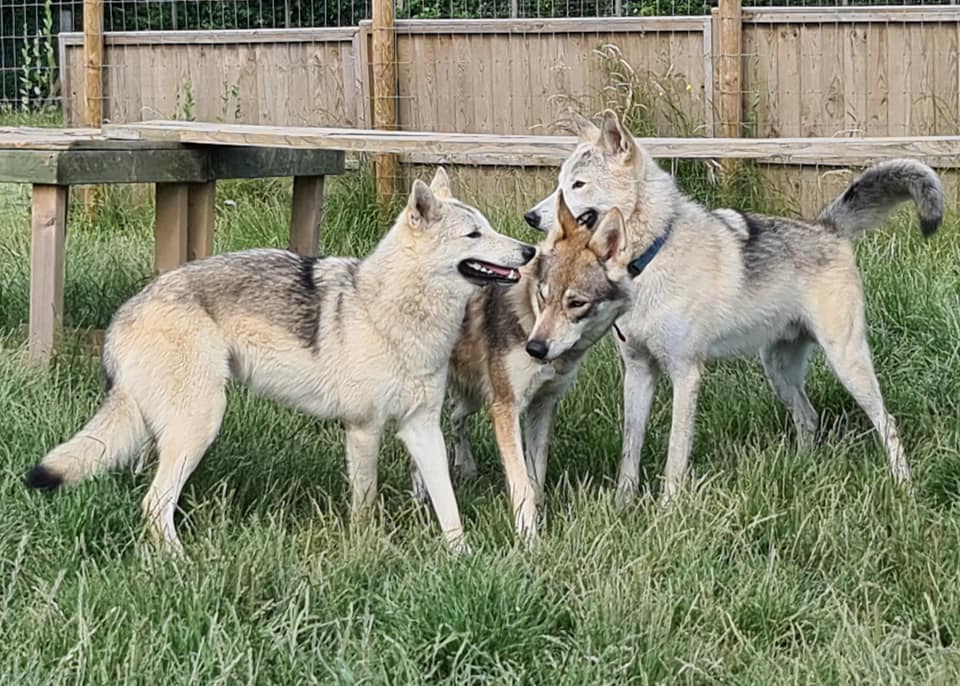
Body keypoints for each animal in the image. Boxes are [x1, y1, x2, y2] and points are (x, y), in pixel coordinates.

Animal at [24, 168, 536, 554]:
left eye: (489, 226)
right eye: (474, 234)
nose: (530, 250)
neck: (392, 312)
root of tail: (125, 312)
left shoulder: (422, 427)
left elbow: (448, 505)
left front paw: (462, 558)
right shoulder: (364, 429)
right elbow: (365, 505)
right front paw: (366, 549)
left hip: (167, 428)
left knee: (147, 489)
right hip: (202, 422)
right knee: (154, 503)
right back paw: (181, 563)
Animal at [413, 189, 635, 543]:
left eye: (576, 303)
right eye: (544, 296)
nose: (535, 348)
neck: (529, 317)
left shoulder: (542, 406)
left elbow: (536, 476)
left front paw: (540, 519)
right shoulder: (506, 408)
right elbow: (520, 482)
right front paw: (529, 538)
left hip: (474, 395)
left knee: (457, 417)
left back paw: (465, 467)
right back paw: (422, 494)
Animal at [524, 109, 944, 505]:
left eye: (577, 184)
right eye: (558, 183)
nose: (530, 217)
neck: (652, 255)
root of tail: (827, 228)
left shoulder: (686, 373)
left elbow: (675, 454)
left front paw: (668, 510)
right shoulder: (638, 371)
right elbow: (631, 450)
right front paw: (622, 506)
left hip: (847, 363)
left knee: (886, 422)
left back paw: (903, 486)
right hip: (778, 370)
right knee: (809, 418)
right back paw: (802, 469)